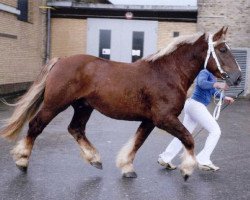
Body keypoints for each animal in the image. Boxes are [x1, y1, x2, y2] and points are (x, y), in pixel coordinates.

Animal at [0, 27, 241, 180]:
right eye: (222, 50)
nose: (238, 77)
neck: (167, 73)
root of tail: (61, 60)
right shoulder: (164, 118)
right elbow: (188, 138)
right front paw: (187, 170)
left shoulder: (150, 120)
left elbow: (137, 142)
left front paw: (127, 168)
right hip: (55, 104)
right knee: (36, 126)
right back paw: (22, 161)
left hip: (83, 107)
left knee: (76, 129)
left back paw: (95, 159)